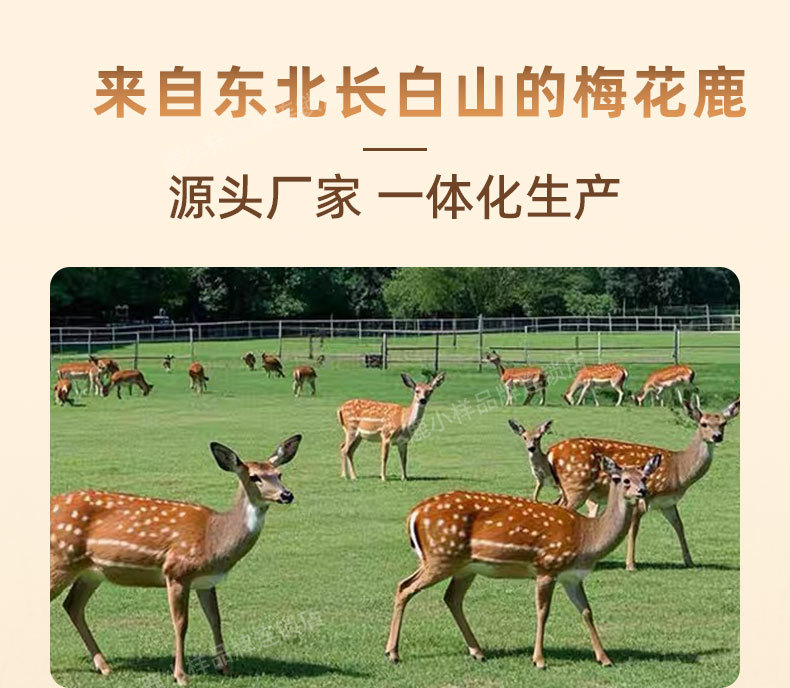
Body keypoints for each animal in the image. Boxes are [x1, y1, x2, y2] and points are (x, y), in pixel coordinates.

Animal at [50, 435, 301, 686]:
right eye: (254, 477)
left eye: (279, 474)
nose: (286, 495)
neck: (214, 539)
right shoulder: (177, 571)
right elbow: (181, 623)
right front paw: (181, 675)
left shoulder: (207, 581)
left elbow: (215, 619)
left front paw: (225, 667)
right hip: (60, 559)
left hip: (91, 573)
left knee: (72, 605)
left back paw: (104, 666)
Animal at [385, 455, 661, 667]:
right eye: (622, 479)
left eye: (644, 477)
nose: (642, 491)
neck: (587, 537)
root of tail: (413, 514)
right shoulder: (547, 566)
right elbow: (543, 612)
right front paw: (539, 660)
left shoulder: (572, 576)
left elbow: (586, 611)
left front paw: (604, 658)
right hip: (441, 556)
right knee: (404, 587)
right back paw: (393, 653)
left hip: (463, 567)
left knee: (450, 598)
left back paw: (478, 652)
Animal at [545, 395, 740, 570]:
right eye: (703, 423)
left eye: (723, 423)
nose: (717, 436)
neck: (679, 470)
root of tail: (551, 452)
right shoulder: (643, 497)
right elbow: (634, 530)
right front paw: (631, 565)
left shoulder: (667, 503)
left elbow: (679, 525)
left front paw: (689, 561)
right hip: (576, 487)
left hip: (565, 489)